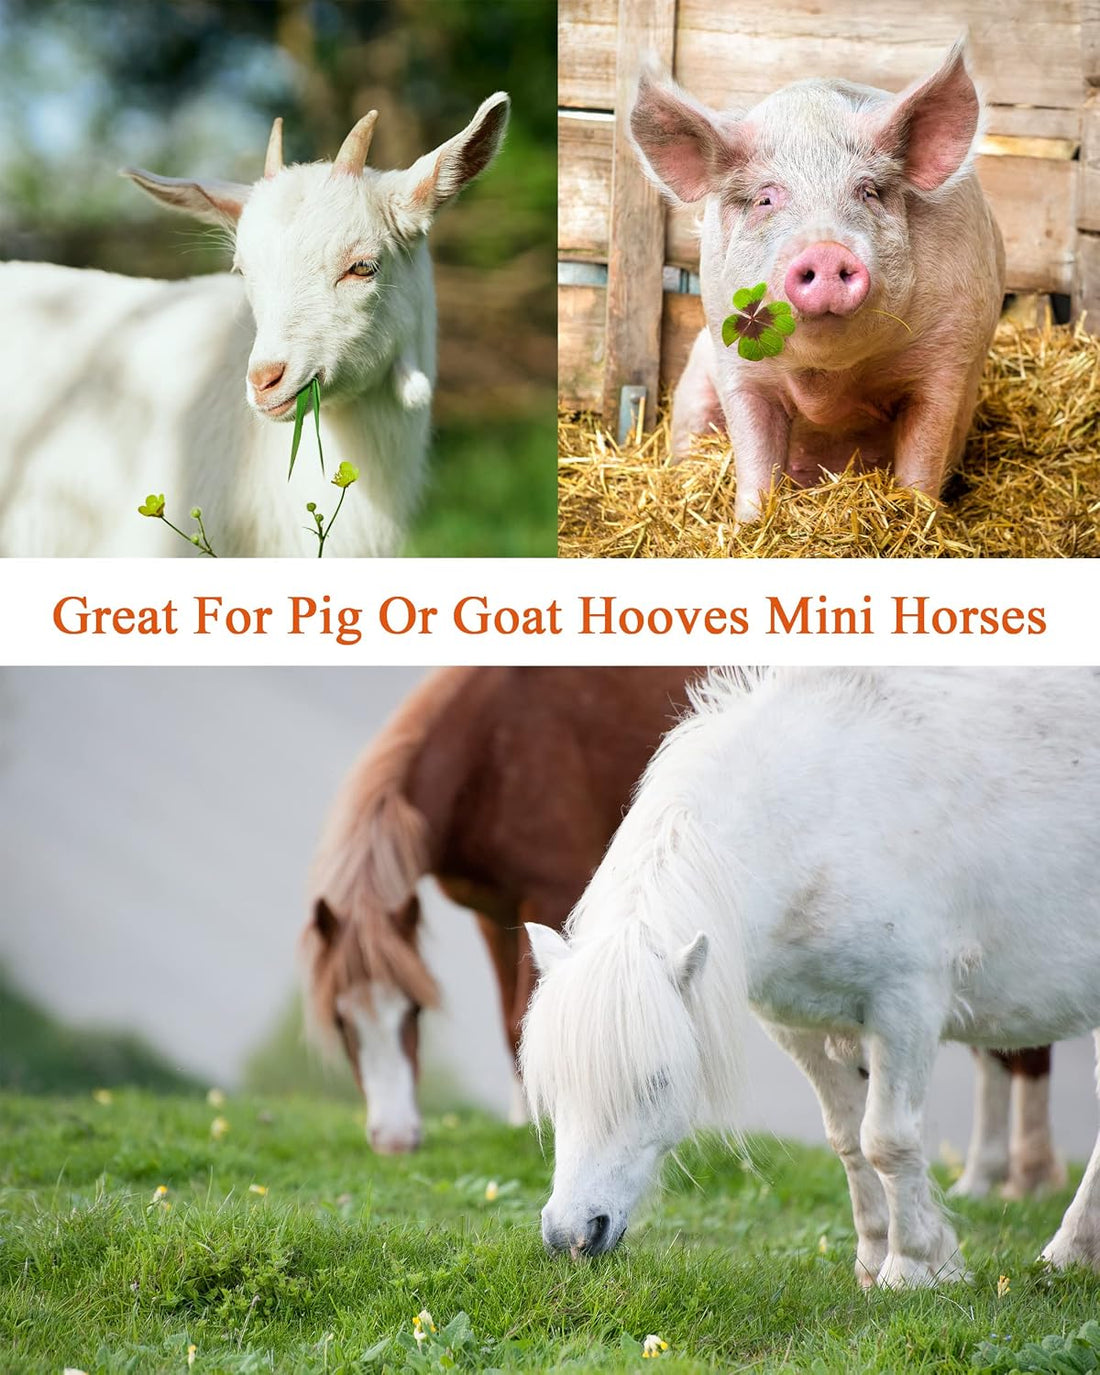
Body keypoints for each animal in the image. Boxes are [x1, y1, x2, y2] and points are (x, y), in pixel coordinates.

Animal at [630, 42, 1005, 521]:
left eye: (868, 192)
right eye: (765, 199)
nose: (826, 249)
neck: (828, 381)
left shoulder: (948, 358)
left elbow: (922, 459)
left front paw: (917, 517)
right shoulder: (735, 363)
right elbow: (755, 458)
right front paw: (749, 525)